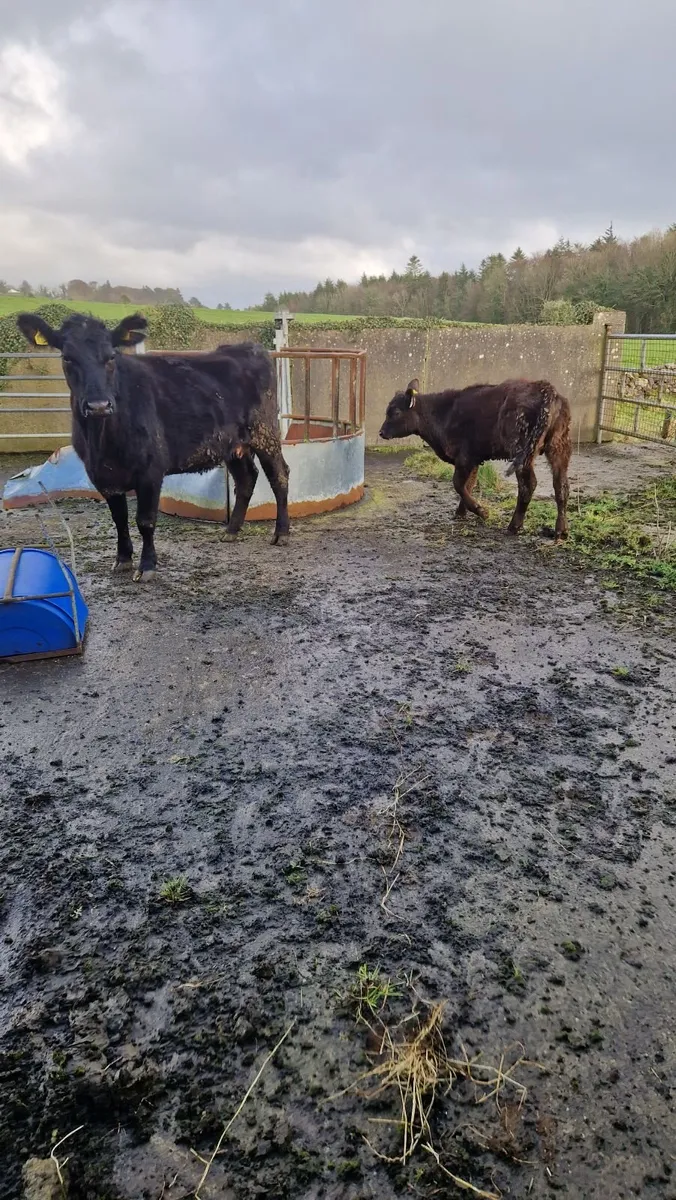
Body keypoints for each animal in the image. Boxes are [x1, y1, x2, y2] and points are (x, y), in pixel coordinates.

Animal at [16, 311, 290, 580]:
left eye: (111, 356)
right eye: (67, 358)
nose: (98, 405)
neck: (102, 441)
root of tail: (249, 348)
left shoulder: (150, 471)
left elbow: (145, 520)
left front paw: (147, 565)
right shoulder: (102, 476)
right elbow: (119, 519)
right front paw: (123, 560)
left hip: (265, 433)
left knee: (279, 476)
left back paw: (281, 533)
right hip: (232, 445)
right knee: (246, 478)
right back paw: (231, 531)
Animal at [379, 377, 572, 539]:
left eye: (395, 412)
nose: (381, 432)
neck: (444, 413)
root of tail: (545, 388)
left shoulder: (464, 458)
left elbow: (458, 484)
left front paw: (480, 511)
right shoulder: (474, 460)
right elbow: (468, 484)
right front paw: (461, 513)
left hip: (523, 452)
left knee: (528, 485)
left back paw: (514, 526)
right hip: (558, 448)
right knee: (561, 486)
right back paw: (560, 531)